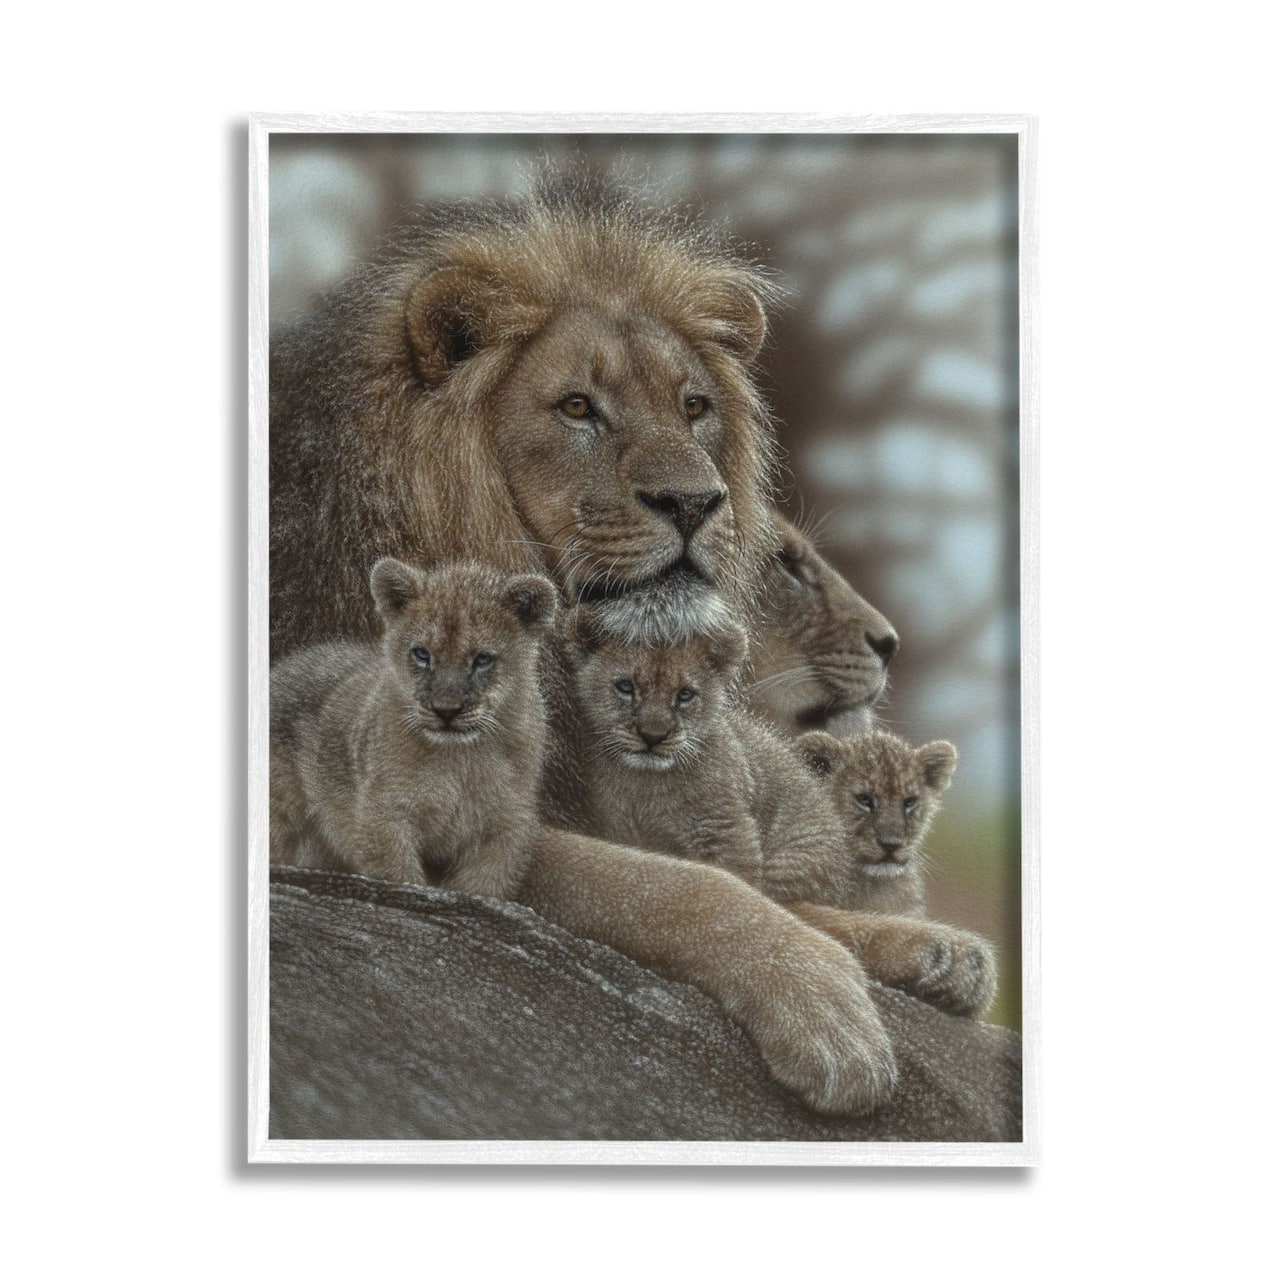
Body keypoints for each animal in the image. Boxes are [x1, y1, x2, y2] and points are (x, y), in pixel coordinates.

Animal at [269, 174, 905, 1113]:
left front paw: (932, 956)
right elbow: (674, 887)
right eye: (577, 407)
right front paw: (826, 1007)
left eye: (694, 407)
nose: (695, 503)